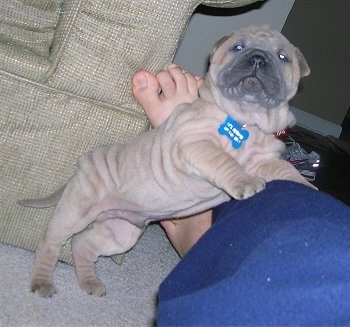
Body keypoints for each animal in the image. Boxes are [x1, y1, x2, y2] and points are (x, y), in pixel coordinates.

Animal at [19, 25, 314, 298]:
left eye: (283, 56)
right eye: (238, 47)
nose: (257, 59)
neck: (248, 121)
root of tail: (80, 168)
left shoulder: (263, 162)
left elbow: (287, 171)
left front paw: (309, 188)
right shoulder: (195, 144)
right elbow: (224, 162)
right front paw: (245, 182)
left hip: (121, 230)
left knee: (83, 243)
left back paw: (90, 283)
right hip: (78, 209)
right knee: (51, 241)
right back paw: (42, 282)